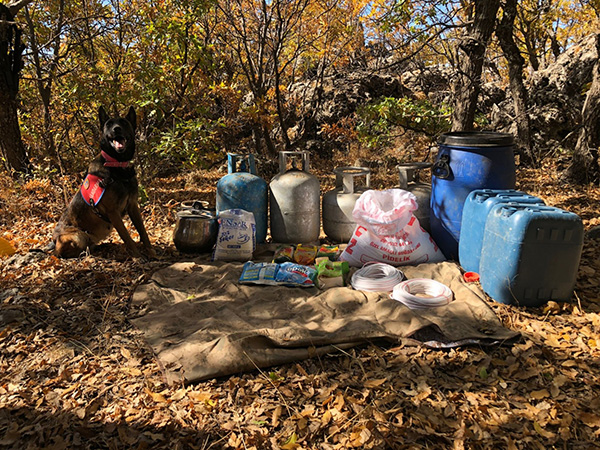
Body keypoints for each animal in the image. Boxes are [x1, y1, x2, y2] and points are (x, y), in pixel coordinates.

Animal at [52, 106, 155, 258]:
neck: (116, 165)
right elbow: (126, 236)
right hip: (77, 236)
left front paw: (151, 251)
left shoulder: (133, 205)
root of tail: (54, 241)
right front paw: (137, 256)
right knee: (64, 252)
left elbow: (142, 230)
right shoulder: (113, 213)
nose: (116, 129)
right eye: (109, 124)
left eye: (124, 123)